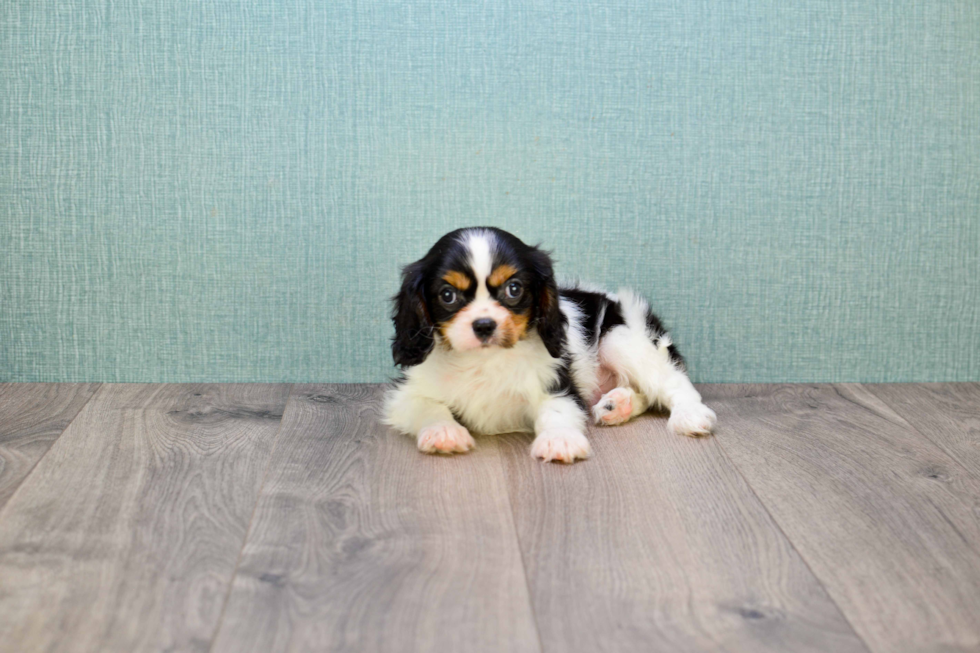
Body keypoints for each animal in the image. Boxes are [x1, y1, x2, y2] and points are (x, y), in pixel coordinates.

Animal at [380, 227, 712, 460]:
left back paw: (689, 415)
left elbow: (557, 411)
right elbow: (429, 408)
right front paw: (444, 433)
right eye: (447, 295)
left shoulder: (558, 386)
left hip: (620, 337)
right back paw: (617, 405)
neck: (485, 359)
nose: (484, 324)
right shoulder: (407, 395)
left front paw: (559, 440)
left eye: (514, 289)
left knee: (671, 382)